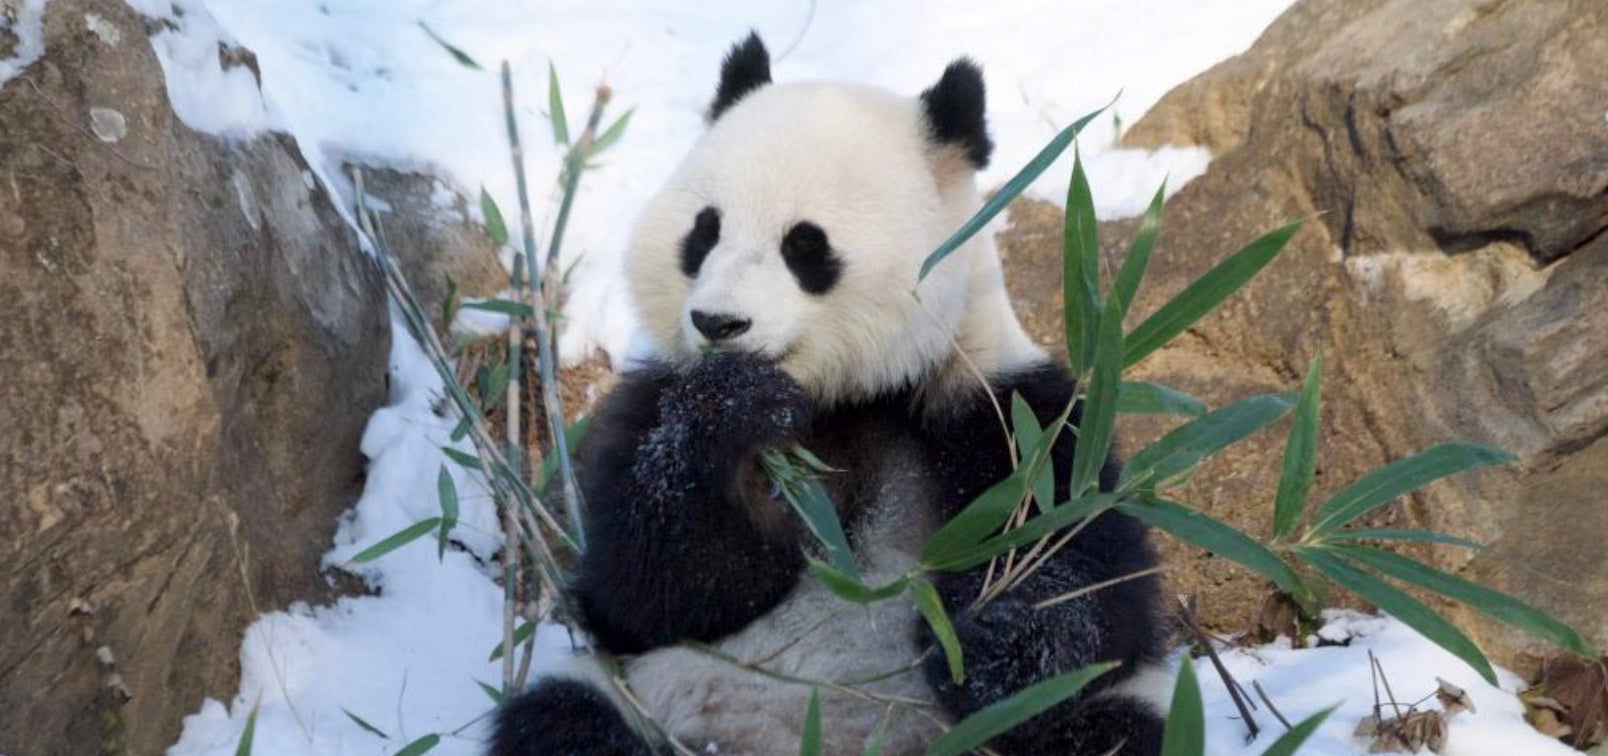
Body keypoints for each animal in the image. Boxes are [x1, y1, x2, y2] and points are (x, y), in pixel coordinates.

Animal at [492, 33, 1169, 756]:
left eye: (805, 245)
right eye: (704, 232)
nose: (718, 323)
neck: (845, 395)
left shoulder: (1010, 416)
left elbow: (1079, 581)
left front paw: (981, 635)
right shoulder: (654, 401)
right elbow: (655, 586)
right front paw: (732, 404)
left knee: (1106, 730)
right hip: (642, 696)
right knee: (562, 716)